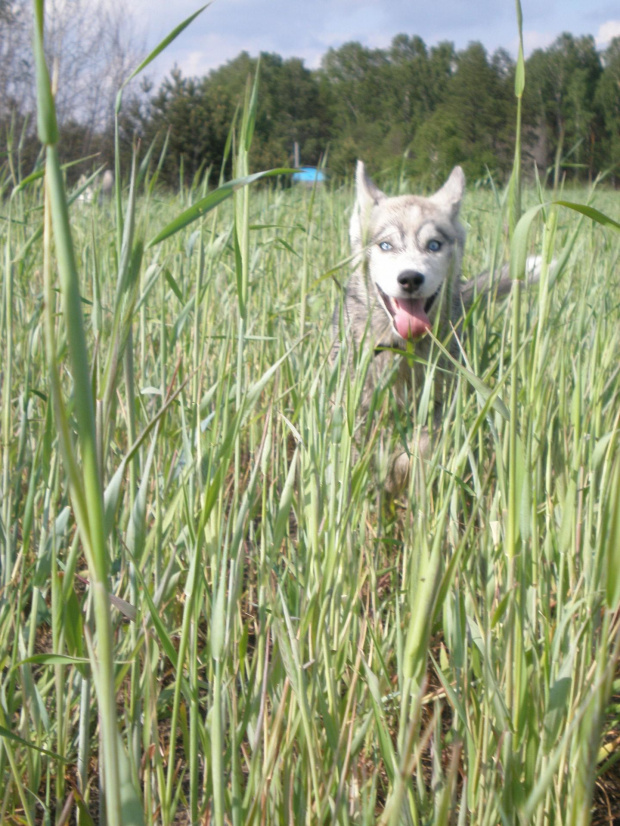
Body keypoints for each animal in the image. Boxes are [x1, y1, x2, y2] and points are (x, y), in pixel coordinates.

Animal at [334, 161, 528, 490]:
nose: (410, 278)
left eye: (433, 245)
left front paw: (407, 472)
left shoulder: (438, 403)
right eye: (386, 245)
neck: (403, 349)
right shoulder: (356, 400)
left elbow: (421, 448)